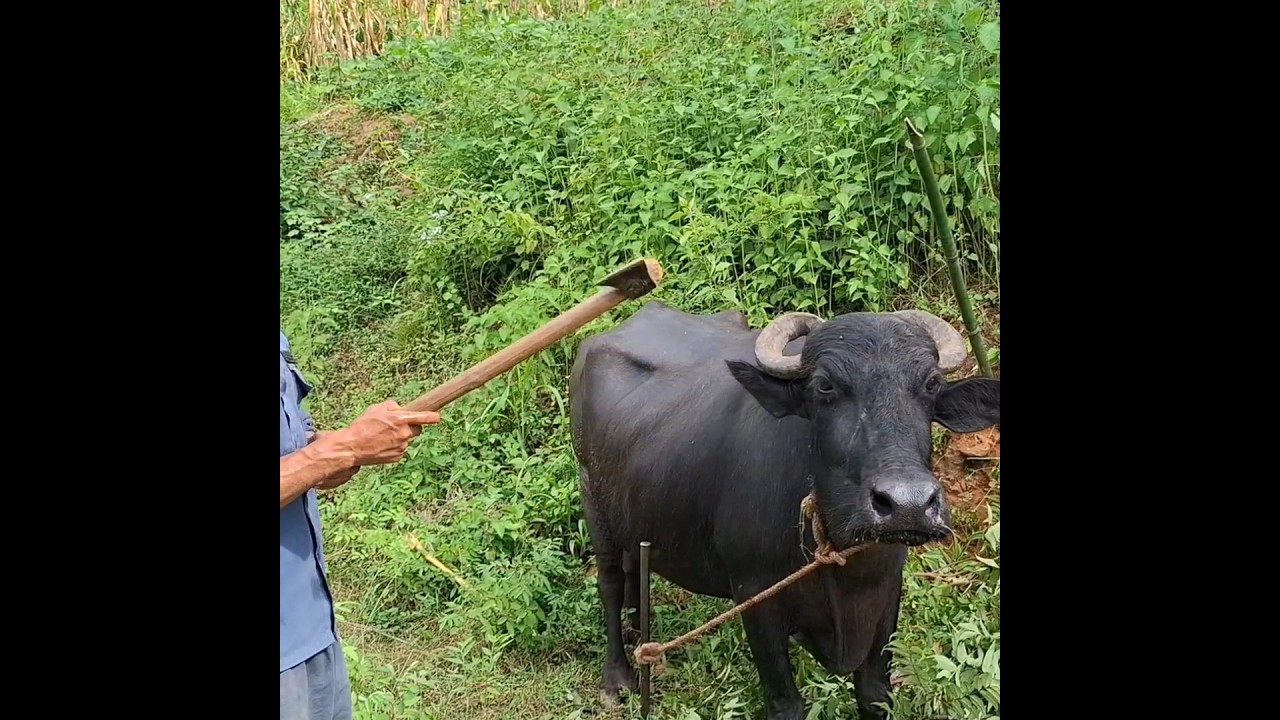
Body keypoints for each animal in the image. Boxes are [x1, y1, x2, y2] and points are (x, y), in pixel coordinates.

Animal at [568, 301, 1000, 719]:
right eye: (824, 385)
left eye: (931, 383)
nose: (907, 505)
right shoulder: (756, 598)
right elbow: (785, 705)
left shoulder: (886, 593)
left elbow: (875, 695)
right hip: (592, 498)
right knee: (610, 582)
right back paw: (617, 677)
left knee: (634, 568)